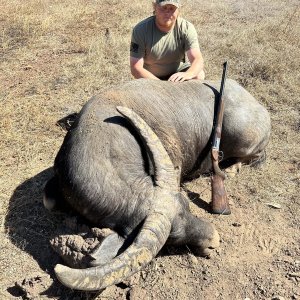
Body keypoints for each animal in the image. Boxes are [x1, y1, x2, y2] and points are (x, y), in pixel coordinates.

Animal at [43, 78, 270, 290]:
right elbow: (48, 201)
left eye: (188, 207)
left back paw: (231, 169)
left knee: (254, 155)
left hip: (245, 140)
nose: (214, 241)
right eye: (173, 238)